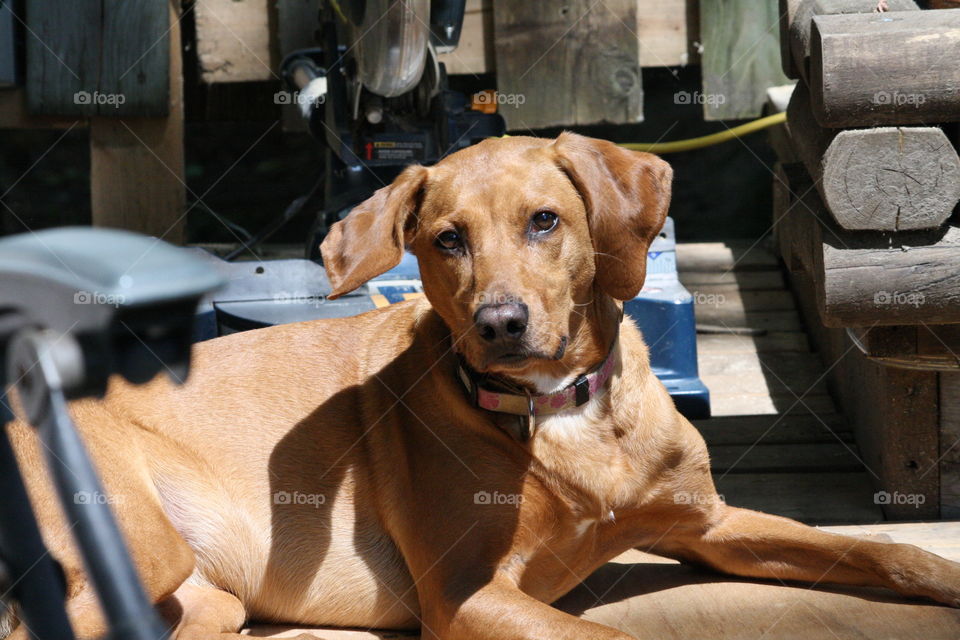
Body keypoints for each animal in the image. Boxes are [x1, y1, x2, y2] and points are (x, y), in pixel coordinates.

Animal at [5, 132, 960, 636]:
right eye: (446, 240)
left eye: (544, 221)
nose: (500, 324)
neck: (562, 414)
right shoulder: (470, 595)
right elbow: (606, 632)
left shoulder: (710, 525)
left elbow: (888, 552)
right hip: (131, 544)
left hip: (204, 601)